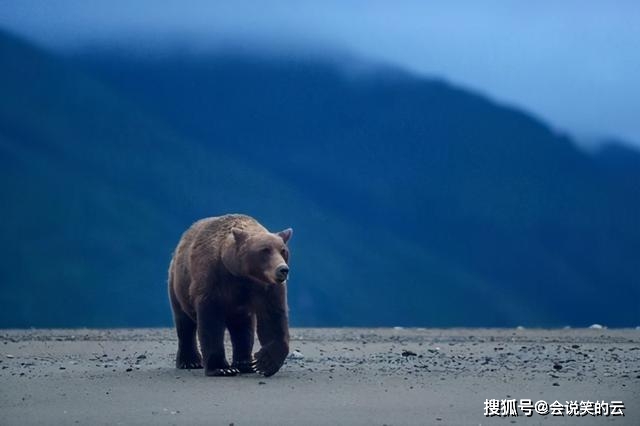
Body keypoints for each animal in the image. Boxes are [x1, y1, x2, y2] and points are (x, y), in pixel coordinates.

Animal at [168, 215, 292, 378]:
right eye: (265, 250)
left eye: (283, 250)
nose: (282, 269)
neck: (240, 273)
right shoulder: (213, 280)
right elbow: (211, 322)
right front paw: (221, 368)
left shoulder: (266, 288)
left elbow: (273, 319)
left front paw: (265, 362)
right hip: (178, 286)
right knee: (184, 323)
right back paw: (190, 361)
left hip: (240, 310)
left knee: (243, 329)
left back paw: (245, 363)